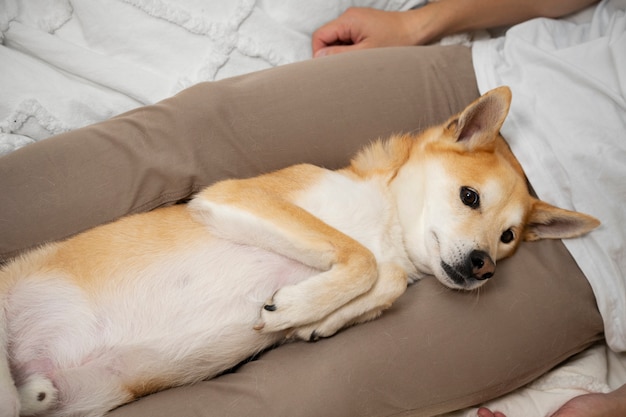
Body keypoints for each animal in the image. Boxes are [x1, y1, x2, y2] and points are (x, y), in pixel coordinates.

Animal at [0, 86, 596, 414]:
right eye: (469, 197)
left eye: (508, 239)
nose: (484, 267)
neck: (385, 225)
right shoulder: (236, 199)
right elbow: (360, 257)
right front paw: (298, 307)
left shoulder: (387, 263)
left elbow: (386, 278)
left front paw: (314, 320)